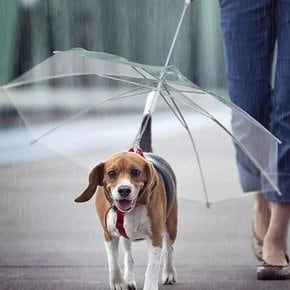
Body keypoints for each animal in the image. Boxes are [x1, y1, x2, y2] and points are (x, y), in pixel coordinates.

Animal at [75, 150, 178, 290]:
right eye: (111, 173)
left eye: (136, 172)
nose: (124, 190)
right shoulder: (108, 234)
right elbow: (113, 261)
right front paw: (118, 282)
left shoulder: (155, 236)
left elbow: (152, 267)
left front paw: (150, 286)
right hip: (126, 236)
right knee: (129, 256)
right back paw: (129, 279)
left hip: (171, 227)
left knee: (169, 249)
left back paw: (169, 273)